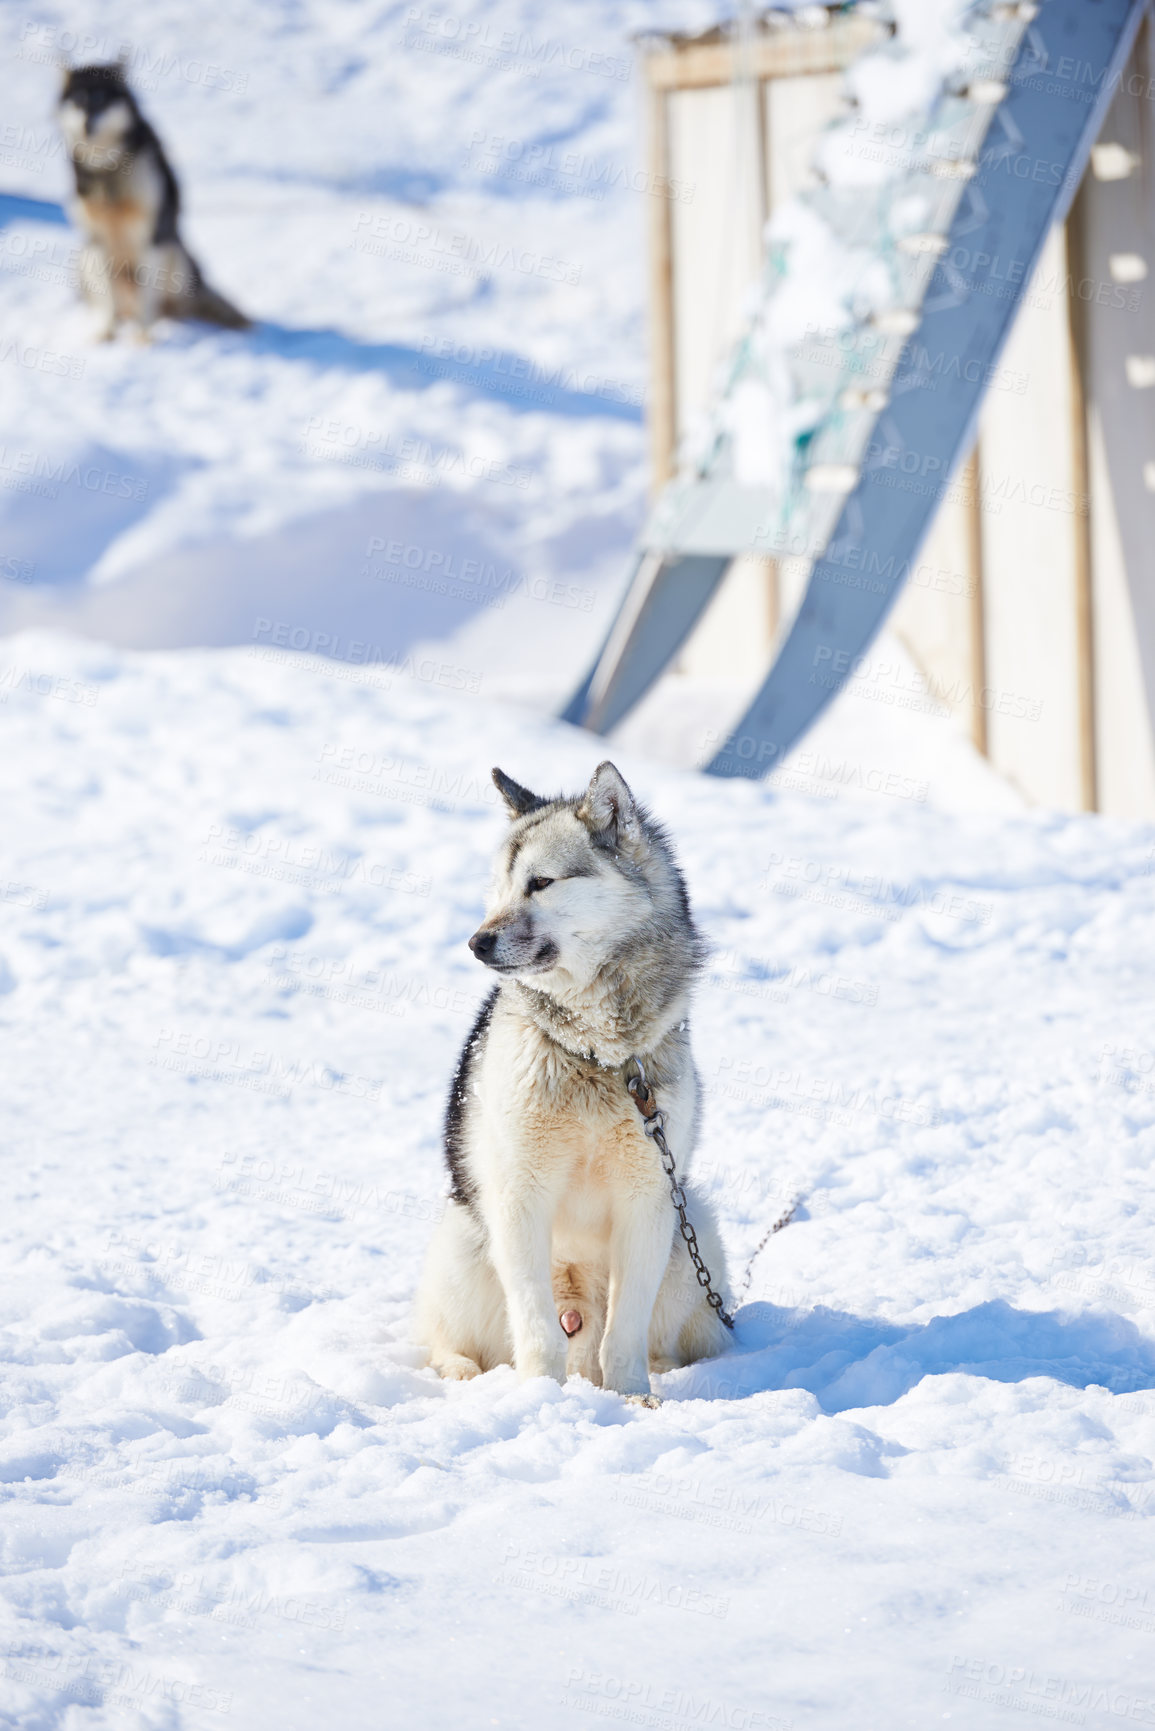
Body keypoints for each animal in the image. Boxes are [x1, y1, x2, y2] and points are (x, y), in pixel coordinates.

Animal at [57, 62, 249, 337]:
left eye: (103, 101)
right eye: (79, 101)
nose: (87, 123)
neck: (107, 167)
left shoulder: (152, 235)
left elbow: (148, 300)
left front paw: (143, 338)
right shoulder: (98, 236)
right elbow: (109, 303)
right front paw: (107, 334)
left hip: (175, 256)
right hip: (87, 258)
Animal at [413, 765, 730, 1398]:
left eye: (541, 883)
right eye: (500, 888)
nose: (476, 942)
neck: (596, 1057)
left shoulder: (649, 1199)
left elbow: (625, 1329)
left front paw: (632, 1397)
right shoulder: (519, 1197)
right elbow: (535, 1327)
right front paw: (540, 1397)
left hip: (694, 1233)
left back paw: (663, 1372)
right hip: (464, 1239)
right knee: (450, 1339)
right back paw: (462, 1372)